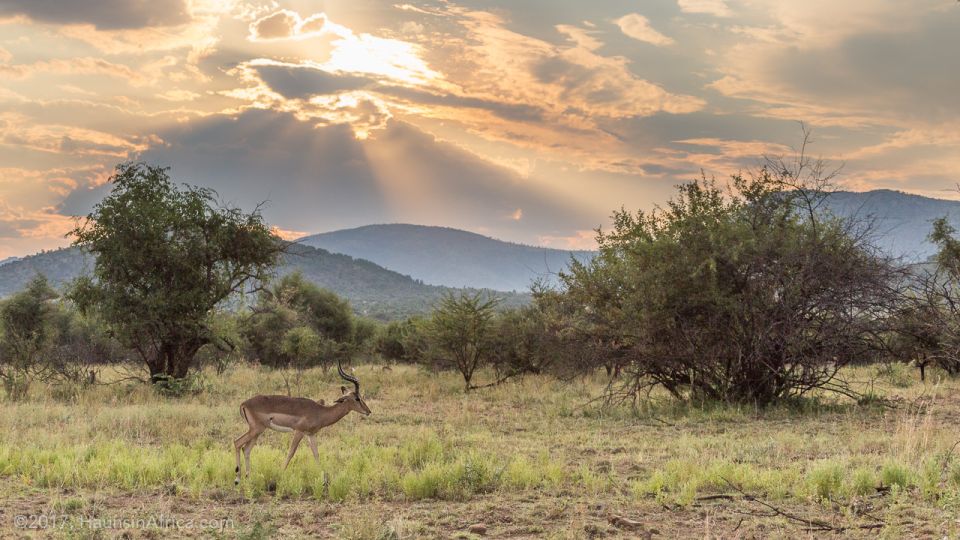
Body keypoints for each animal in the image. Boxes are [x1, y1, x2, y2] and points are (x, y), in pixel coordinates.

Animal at [232, 360, 372, 484]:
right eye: (357, 398)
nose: (368, 411)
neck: (320, 411)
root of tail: (244, 404)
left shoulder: (310, 434)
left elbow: (316, 454)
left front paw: (324, 479)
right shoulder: (299, 431)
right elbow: (291, 452)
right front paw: (280, 474)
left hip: (257, 432)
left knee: (246, 449)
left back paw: (248, 477)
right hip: (256, 429)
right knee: (237, 442)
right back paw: (237, 479)